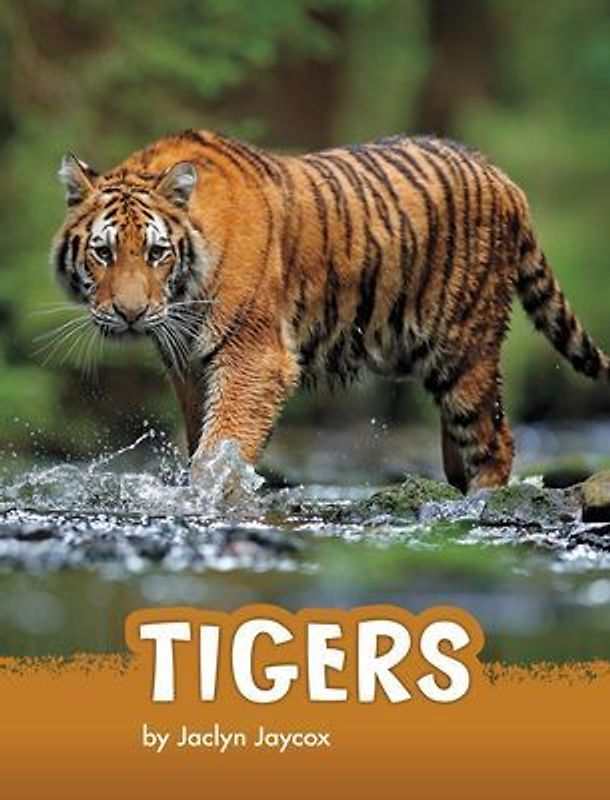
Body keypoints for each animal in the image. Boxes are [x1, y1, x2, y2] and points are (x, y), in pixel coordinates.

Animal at [51, 129, 610, 493]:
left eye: (155, 252)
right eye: (103, 252)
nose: (129, 313)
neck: (184, 293)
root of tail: (502, 177)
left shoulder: (254, 355)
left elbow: (221, 445)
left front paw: (210, 496)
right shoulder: (188, 364)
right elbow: (199, 437)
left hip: (464, 348)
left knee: (495, 440)